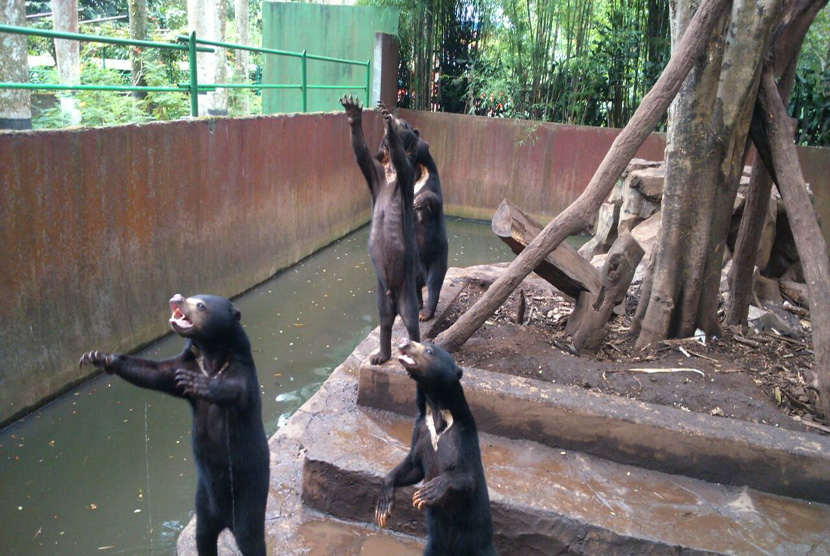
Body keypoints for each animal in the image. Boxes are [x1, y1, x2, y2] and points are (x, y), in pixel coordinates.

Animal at [81, 292, 270, 556]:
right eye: (190, 295)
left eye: (199, 305)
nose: (176, 298)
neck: (210, 360)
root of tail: (224, 520)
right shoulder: (184, 363)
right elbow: (154, 372)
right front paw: (98, 357)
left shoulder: (240, 368)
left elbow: (235, 388)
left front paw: (197, 383)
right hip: (203, 503)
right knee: (204, 536)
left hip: (249, 494)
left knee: (250, 538)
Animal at [342, 94, 422, 364]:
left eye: (406, 125)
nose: (398, 122)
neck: (389, 173)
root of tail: (394, 296)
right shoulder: (375, 175)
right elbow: (361, 154)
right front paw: (353, 111)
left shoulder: (406, 172)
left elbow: (401, 158)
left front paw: (388, 122)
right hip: (381, 293)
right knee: (384, 320)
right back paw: (380, 355)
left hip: (407, 287)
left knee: (411, 319)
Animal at [378, 338, 500, 556]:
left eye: (429, 350)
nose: (404, 341)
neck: (436, 413)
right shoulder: (420, 431)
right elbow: (413, 466)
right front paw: (383, 506)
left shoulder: (463, 436)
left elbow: (468, 476)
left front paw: (428, 491)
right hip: (435, 546)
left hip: (480, 547)